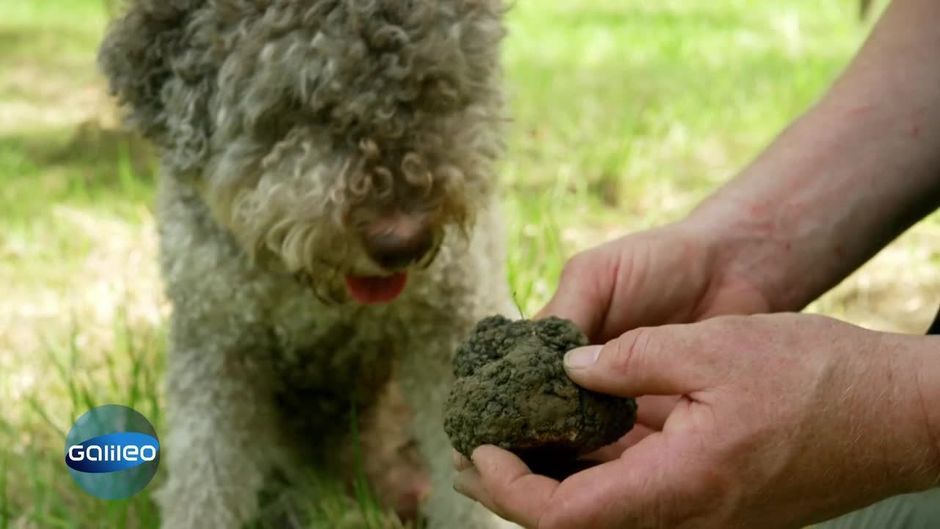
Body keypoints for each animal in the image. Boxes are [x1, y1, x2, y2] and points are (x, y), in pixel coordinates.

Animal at [97, 2, 516, 524]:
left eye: (433, 84)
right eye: (297, 103)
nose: (403, 243)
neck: (309, 286)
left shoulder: (449, 319)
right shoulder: (215, 338)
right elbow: (205, 476)